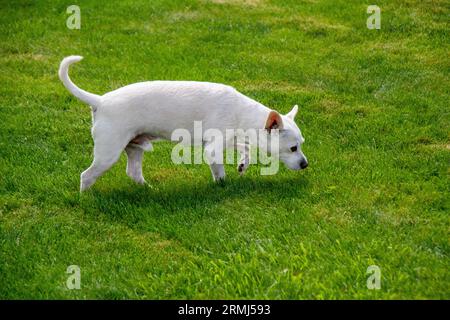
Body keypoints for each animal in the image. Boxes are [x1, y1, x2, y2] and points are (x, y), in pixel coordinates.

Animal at [58, 55, 308, 191]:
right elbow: (219, 171)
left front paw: (242, 165)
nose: (305, 164)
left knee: (133, 173)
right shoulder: (213, 149)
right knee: (86, 176)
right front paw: (222, 185)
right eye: (293, 148)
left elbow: (245, 147)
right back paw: (85, 197)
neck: (241, 111)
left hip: (134, 149)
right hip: (108, 154)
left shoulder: (229, 139)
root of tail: (100, 100)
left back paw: (148, 190)